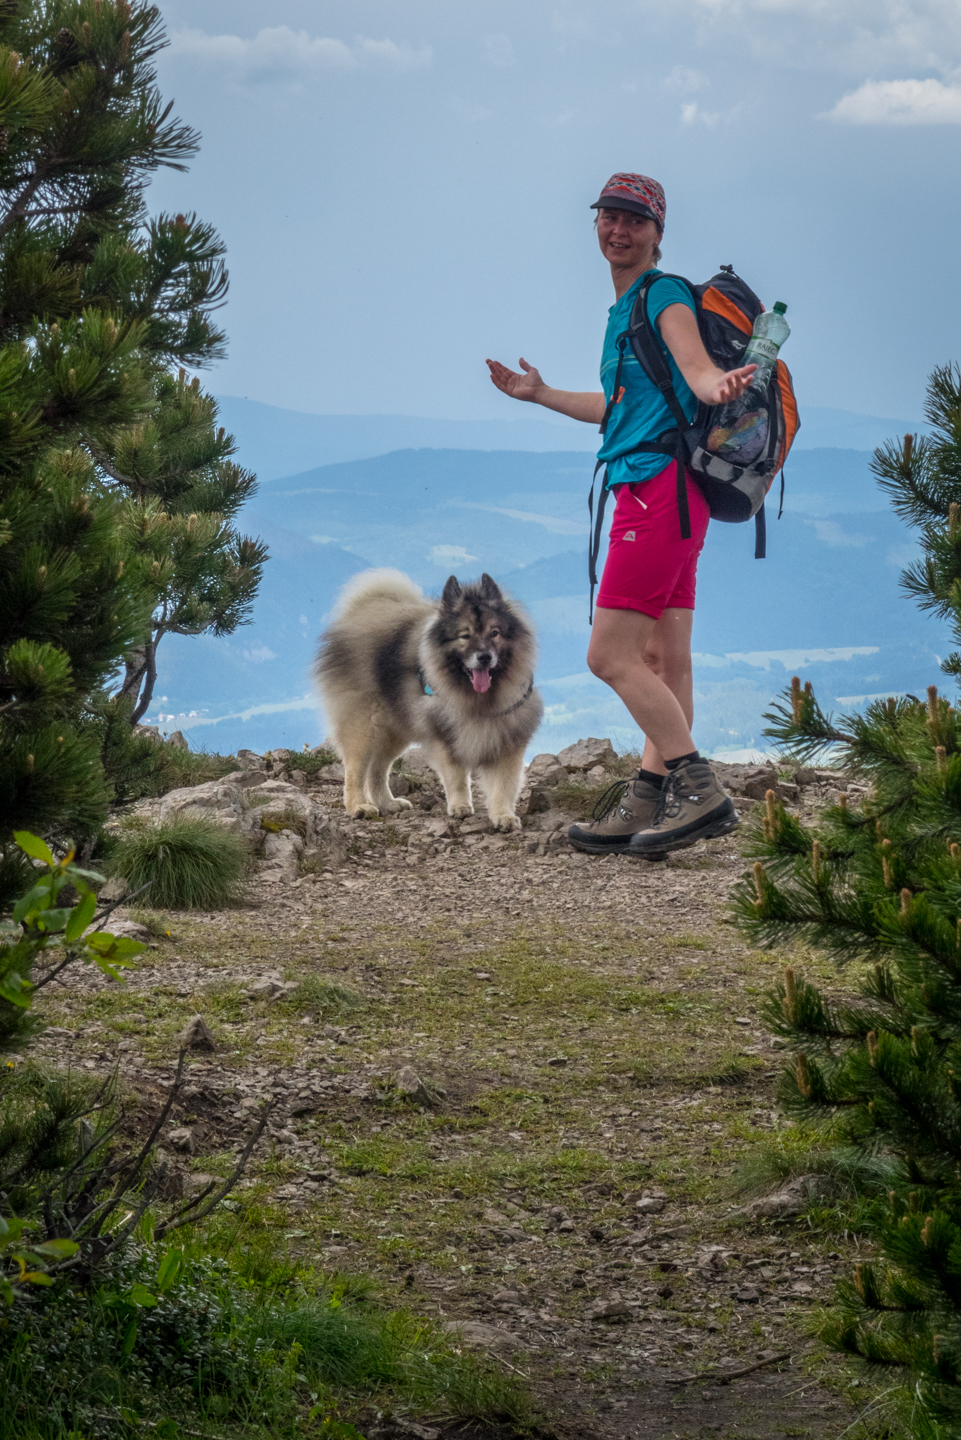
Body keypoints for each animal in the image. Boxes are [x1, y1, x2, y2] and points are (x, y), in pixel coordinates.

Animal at [315, 567, 541, 829]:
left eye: (494, 633)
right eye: (465, 636)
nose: (484, 657)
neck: (477, 698)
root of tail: (361, 612)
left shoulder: (506, 739)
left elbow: (503, 786)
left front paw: (503, 816)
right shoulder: (444, 735)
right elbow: (457, 777)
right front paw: (460, 806)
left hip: (395, 728)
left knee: (377, 770)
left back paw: (387, 803)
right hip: (365, 726)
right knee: (356, 769)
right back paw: (359, 807)